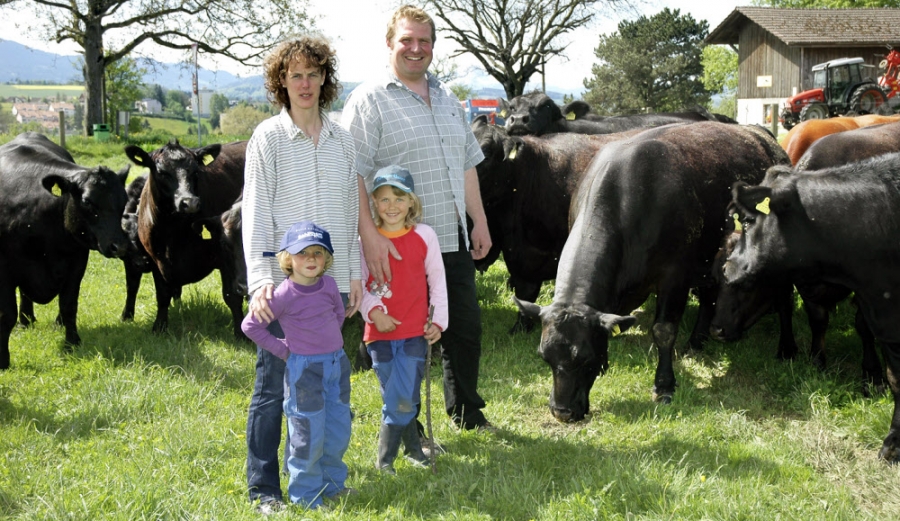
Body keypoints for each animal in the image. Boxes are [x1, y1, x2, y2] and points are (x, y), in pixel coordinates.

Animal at [0, 134, 130, 370]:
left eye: (124, 201)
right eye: (87, 202)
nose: (120, 246)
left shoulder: (76, 264)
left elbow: (69, 305)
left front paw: (72, 342)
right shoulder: (5, 269)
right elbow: (6, 315)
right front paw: (3, 360)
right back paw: (25, 321)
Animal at [125, 139, 246, 338]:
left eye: (195, 171)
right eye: (161, 172)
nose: (189, 203)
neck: (174, 233)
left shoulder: (225, 258)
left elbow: (231, 295)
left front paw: (241, 334)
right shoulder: (156, 259)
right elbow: (162, 295)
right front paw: (159, 327)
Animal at [512, 123, 788, 422]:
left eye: (584, 357)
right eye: (544, 356)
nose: (562, 411)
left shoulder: (675, 276)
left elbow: (663, 330)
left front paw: (664, 385)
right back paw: (696, 341)